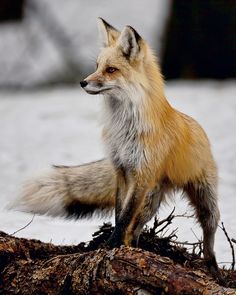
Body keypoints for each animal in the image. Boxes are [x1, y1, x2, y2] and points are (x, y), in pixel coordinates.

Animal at [13, 19, 220, 276]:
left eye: (111, 70)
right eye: (97, 66)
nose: (82, 82)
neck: (125, 130)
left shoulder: (140, 174)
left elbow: (124, 217)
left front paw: (112, 245)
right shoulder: (121, 170)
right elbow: (120, 213)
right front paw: (117, 246)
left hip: (204, 201)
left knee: (208, 234)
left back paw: (213, 269)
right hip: (149, 201)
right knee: (136, 229)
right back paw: (138, 249)